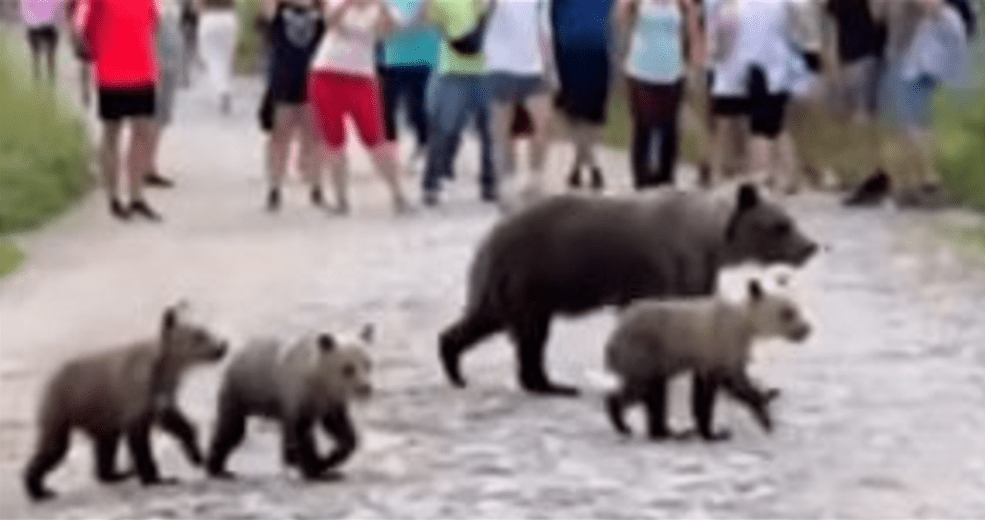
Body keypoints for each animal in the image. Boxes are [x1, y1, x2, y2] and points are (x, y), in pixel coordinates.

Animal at [23, 303, 228, 501]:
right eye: (199, 336)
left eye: (206, 331)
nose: (222, 346)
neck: (165, 369)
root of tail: (49, 378)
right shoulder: (136, 391)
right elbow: (139, 436)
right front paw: (156, 478)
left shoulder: (164, 393)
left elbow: (174, 420)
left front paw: (196, 454)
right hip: (63, 405)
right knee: (54, 446)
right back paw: (38, 489)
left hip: (101, 416)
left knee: (106, 444)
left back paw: (116, 474)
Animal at [205, 326, 373, 481]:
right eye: (348, 368)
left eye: (368, 364)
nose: (365, 388)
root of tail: (237, 355)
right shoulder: (297, 390)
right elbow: (301, 431)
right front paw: (316, 469)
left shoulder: (331, 401)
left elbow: (340, 429)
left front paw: (328, 461)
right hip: (241, 391)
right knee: (231, 429)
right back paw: (218, 469)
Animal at [439, 184, 818, 396]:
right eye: (781, 225)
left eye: (791, 220)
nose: (810, 246)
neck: (710, 239)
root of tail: (492, 235)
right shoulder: (666, 264)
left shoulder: (695, 271)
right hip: (532, 274)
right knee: (529, 334)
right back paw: (549, 385)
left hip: (515, 284)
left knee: (488, 319)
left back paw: (458, 364)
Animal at [605, 280, 811, 441]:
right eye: (787, 313)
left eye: (796, 310)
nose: (806, 330)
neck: (743, 322)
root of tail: (612, 341)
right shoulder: (720, 343)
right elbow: (715, 387)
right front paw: (713, 434)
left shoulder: (719, 353)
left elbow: (733, 383)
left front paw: (764, 407)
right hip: (645, 349)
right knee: (644, 386)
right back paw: (625, 422)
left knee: (654, 391)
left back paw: (667, 432)